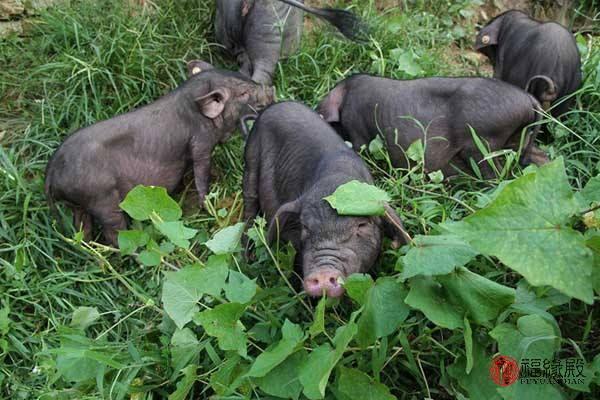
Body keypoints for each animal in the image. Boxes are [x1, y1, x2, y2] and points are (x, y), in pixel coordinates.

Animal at [45, 61, 276, 245]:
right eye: (243, 93)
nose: (271, 88)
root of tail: (51, 172)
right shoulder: (200, 142)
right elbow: (201, 172)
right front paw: (208, 206)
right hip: (101, 198)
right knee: (114, 231)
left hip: (78, 203)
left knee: (82, 229)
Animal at [318, 74, 548, 177]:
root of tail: (528, 98)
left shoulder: (357, 131)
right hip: (518, 138)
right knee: (540, 156)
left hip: (483, 143)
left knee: (495, 175)